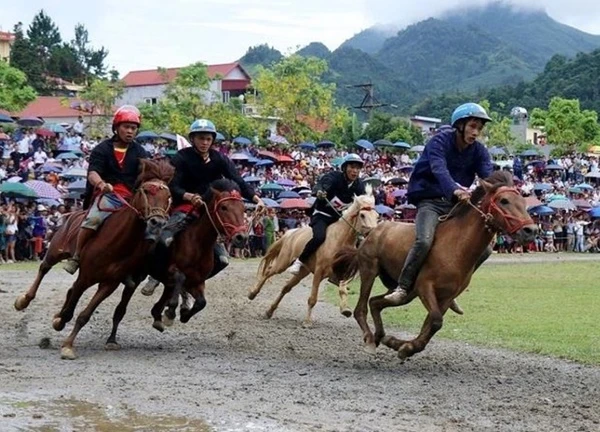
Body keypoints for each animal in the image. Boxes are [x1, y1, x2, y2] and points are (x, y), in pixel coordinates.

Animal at [14, 158, 173, 358]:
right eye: (146, 190)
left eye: (168, 197)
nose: (157, 222)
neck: (118, 243)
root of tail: (72, 214)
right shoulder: (86, 276)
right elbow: (71, 306)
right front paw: (62, 328)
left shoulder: (109, 283)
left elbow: (86, 314)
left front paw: (68, 342)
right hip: (55, 250)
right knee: (44, 268)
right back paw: (24, 300)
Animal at [248, 189, 380, 328]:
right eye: (362, 215)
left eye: (377, 216)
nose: (373, 235)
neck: (339, 240)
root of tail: (290, 233)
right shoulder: (319, 271)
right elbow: (313, 298)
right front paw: (307, 321)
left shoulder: (343, 273)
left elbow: (343, 290)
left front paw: (345, 309)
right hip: (283, 263)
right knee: (269, 272)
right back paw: (252, 293)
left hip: (302, 271)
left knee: (286, 288)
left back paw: (269, 311)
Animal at [332, 172, 540, 362]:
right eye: (504, 200)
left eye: (523, 201)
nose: (531, 230)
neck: (457, 246)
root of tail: (372, 232)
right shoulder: (425, 288)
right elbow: (435, 321)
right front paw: (404, 347)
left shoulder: (446, 296)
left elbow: (431, 324)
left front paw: (401, 345)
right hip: (370, 271)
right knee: (361, 308)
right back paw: (369, 339)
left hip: (405, 292)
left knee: (375, 302)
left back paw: (380, 336)